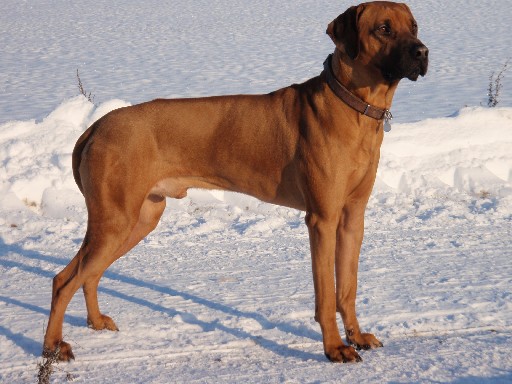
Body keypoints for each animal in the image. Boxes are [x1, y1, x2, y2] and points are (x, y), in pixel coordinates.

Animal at [43, 0, 428, 364]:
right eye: (383, 29)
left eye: (414, 27)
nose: (423, 52)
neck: (352, 105)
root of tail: (96, 127)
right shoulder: (322, 219)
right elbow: (325, 295)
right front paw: (334, 348)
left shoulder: (352, 218)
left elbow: (347, 288)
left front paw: (357, 337)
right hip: (116, 219)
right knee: (64, 280)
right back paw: (52, 347)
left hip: (140, 218)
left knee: (89, 274)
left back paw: (95, 322)